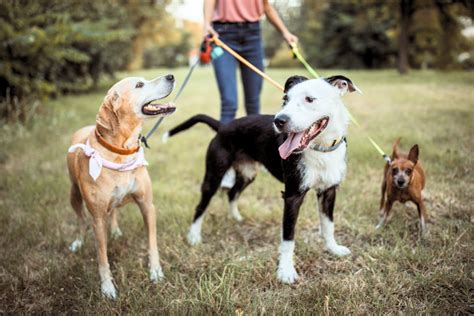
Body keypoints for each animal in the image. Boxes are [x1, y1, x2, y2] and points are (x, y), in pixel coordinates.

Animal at [67, 74, 176, 298]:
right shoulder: (98, 219)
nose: (171, 76)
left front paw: (156, 273)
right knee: (81, 220)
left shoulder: (147, 206)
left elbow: (152, 243)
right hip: (73, 194)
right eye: (139, 85)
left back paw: (116, 231)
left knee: (114, 211)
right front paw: (107, 288)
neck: (121, 151)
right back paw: (78, 242)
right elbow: (102, 257)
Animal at [166, 75, 360, 282]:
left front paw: (333, 249)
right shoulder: (292, 196)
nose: (279, 121)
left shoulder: (329, 191)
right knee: (201, 206)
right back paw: (194, 236)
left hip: (248, 174)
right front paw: (286, 271)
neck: (320, 149)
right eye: (285, 99)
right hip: (214, 176)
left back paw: (236, 217)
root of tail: (223, 126)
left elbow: (328, 225)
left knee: (232, 193)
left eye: (309, 99)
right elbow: (288, 237)